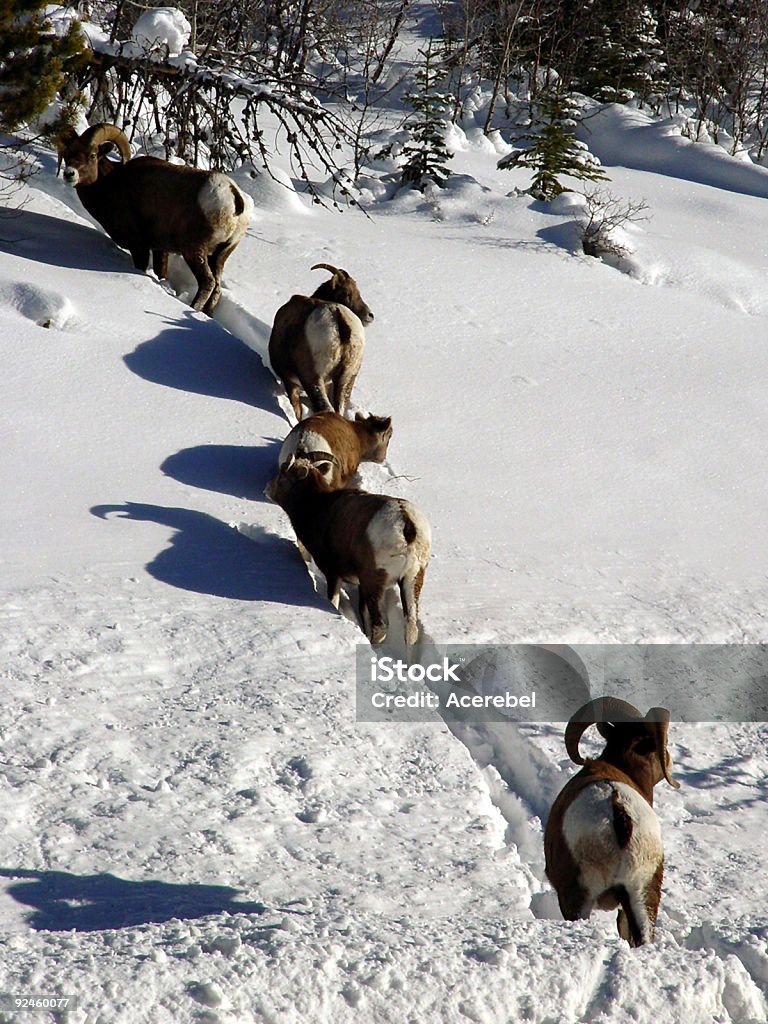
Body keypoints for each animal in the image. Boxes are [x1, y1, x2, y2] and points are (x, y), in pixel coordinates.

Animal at [60, 120, 252, 311]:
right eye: (68, 154)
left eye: (92, 155)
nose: (69, 173)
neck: (112, 183)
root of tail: (233, 196)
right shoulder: (160, 248)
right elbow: (161, 273)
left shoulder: (139, 247)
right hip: (219, 256)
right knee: (217, 287)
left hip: (194, 251)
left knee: (208, 283)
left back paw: (194, 308)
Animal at [268, 268, 376, 423]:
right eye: (347, 293)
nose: (370, 315)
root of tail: (339, 317)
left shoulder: (290, 381)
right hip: (347, 378)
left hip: (313, 378)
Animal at [268, 460, 430, 643]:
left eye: (283, 473)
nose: (267, 489)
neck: (318, 508)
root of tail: (406, 524)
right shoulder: (360, 584)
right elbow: (362, 611)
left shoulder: (334, 574)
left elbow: (334, 601)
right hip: (412, 578)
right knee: (411, 629)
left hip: (374, 581)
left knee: (380, 626)